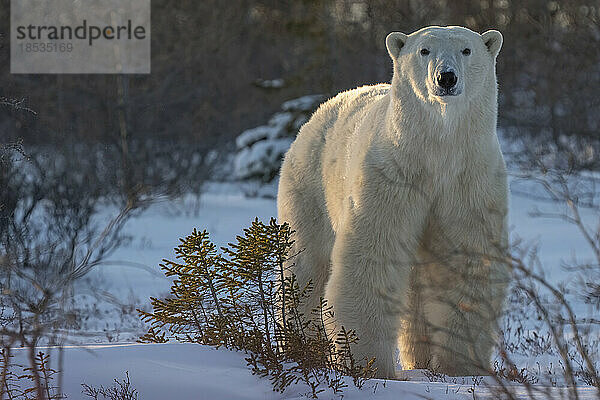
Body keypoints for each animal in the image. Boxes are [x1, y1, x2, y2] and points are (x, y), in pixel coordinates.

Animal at [278, 25, 508, 378]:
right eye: (424, 50)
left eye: (466, 49)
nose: (446, 78)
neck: (436, 152)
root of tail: (320, 112)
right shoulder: (392, 175)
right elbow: (373, 254)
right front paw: (368, 363)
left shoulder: (469, 182)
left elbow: (466, 264)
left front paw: (460, 367)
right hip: (309, 184)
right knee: (306, 263)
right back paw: (299, 344)